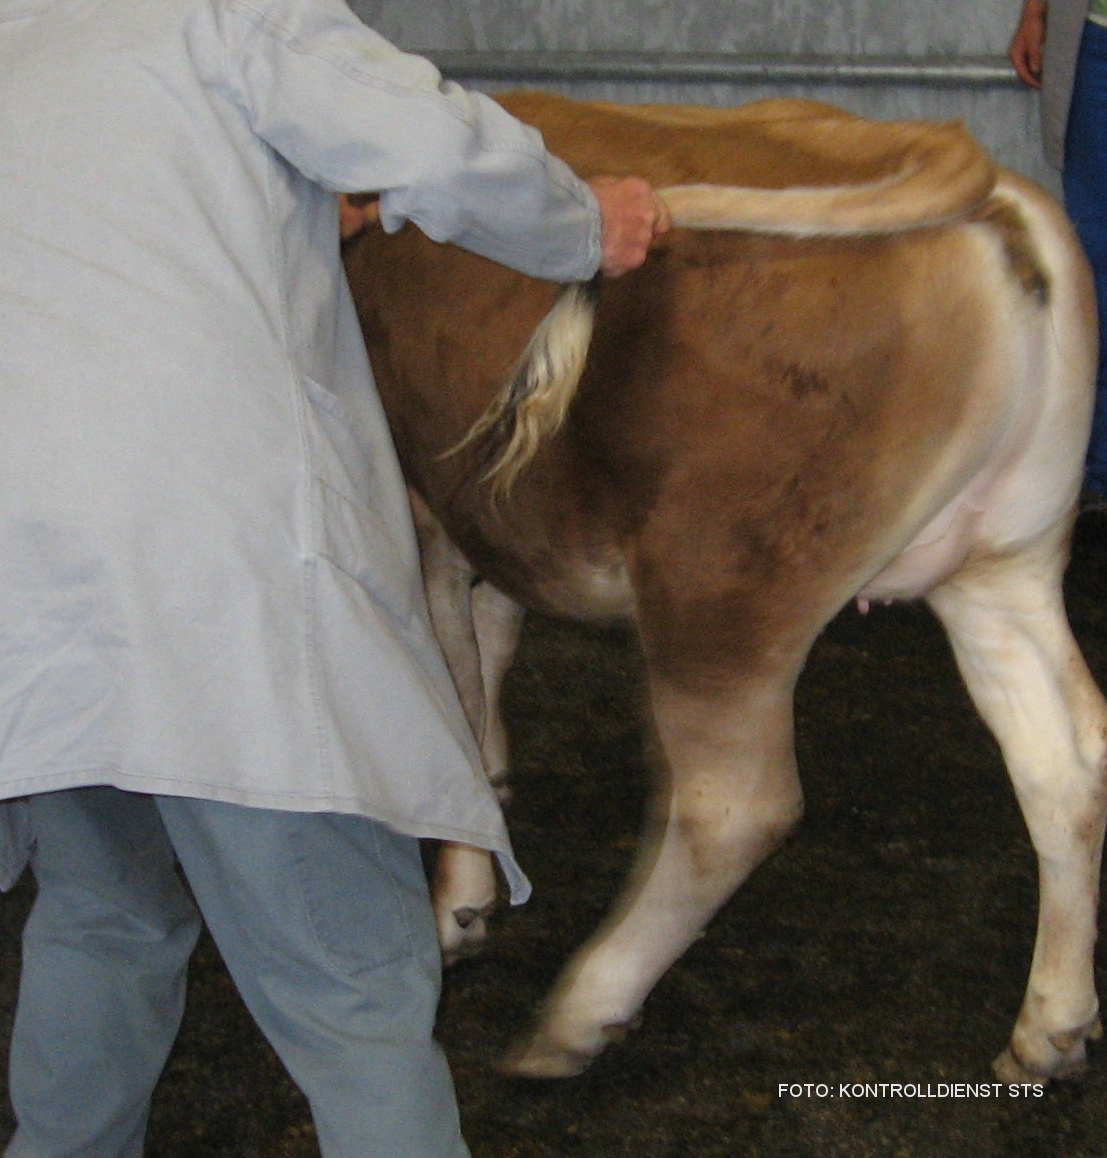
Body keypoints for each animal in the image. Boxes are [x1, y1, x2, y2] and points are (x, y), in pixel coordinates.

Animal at [340, 90, 1107, 1086]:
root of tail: (956, 162)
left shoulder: (419, 511)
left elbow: (451, 699)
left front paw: (460, 898)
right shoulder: (487, 518)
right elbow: (492, 639)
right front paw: (496, 791)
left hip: (718, 588)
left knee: (735, 805)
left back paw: (583, 1010)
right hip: (1002, 564)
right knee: (1064, 758)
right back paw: (1050, 1024)